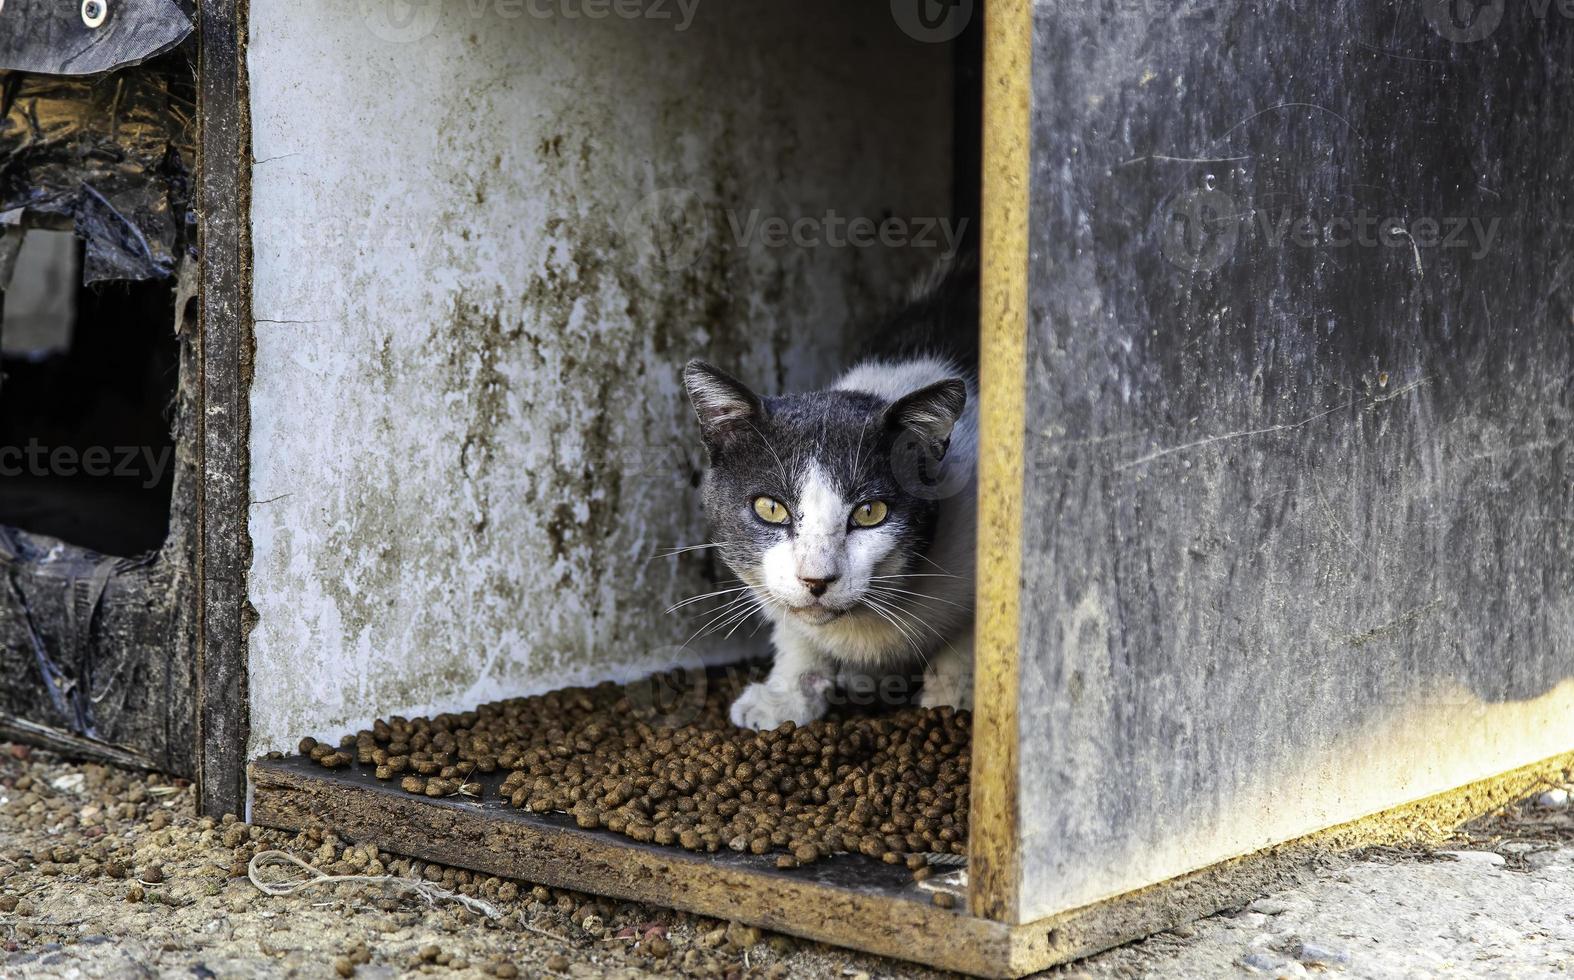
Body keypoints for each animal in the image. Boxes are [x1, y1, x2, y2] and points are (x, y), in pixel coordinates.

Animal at [683, 264, 975, 733]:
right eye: (770, 508)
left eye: (870, 512)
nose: (815, 580)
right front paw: (785, 697)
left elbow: (967, 641)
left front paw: (952, 702)